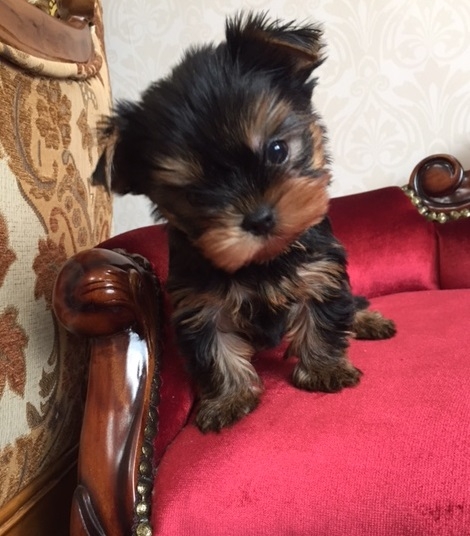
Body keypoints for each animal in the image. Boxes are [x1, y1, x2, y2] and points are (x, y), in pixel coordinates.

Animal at [94, 12, 396, 432]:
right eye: (195, 196)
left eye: (277, 150)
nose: (259, 218)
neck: (261, 262)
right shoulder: (199, 303)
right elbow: (214, 349)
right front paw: (228, 399)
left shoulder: (320, 271)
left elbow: (324, 317)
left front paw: (325, 370)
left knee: (352, 303)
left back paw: (368, 321)